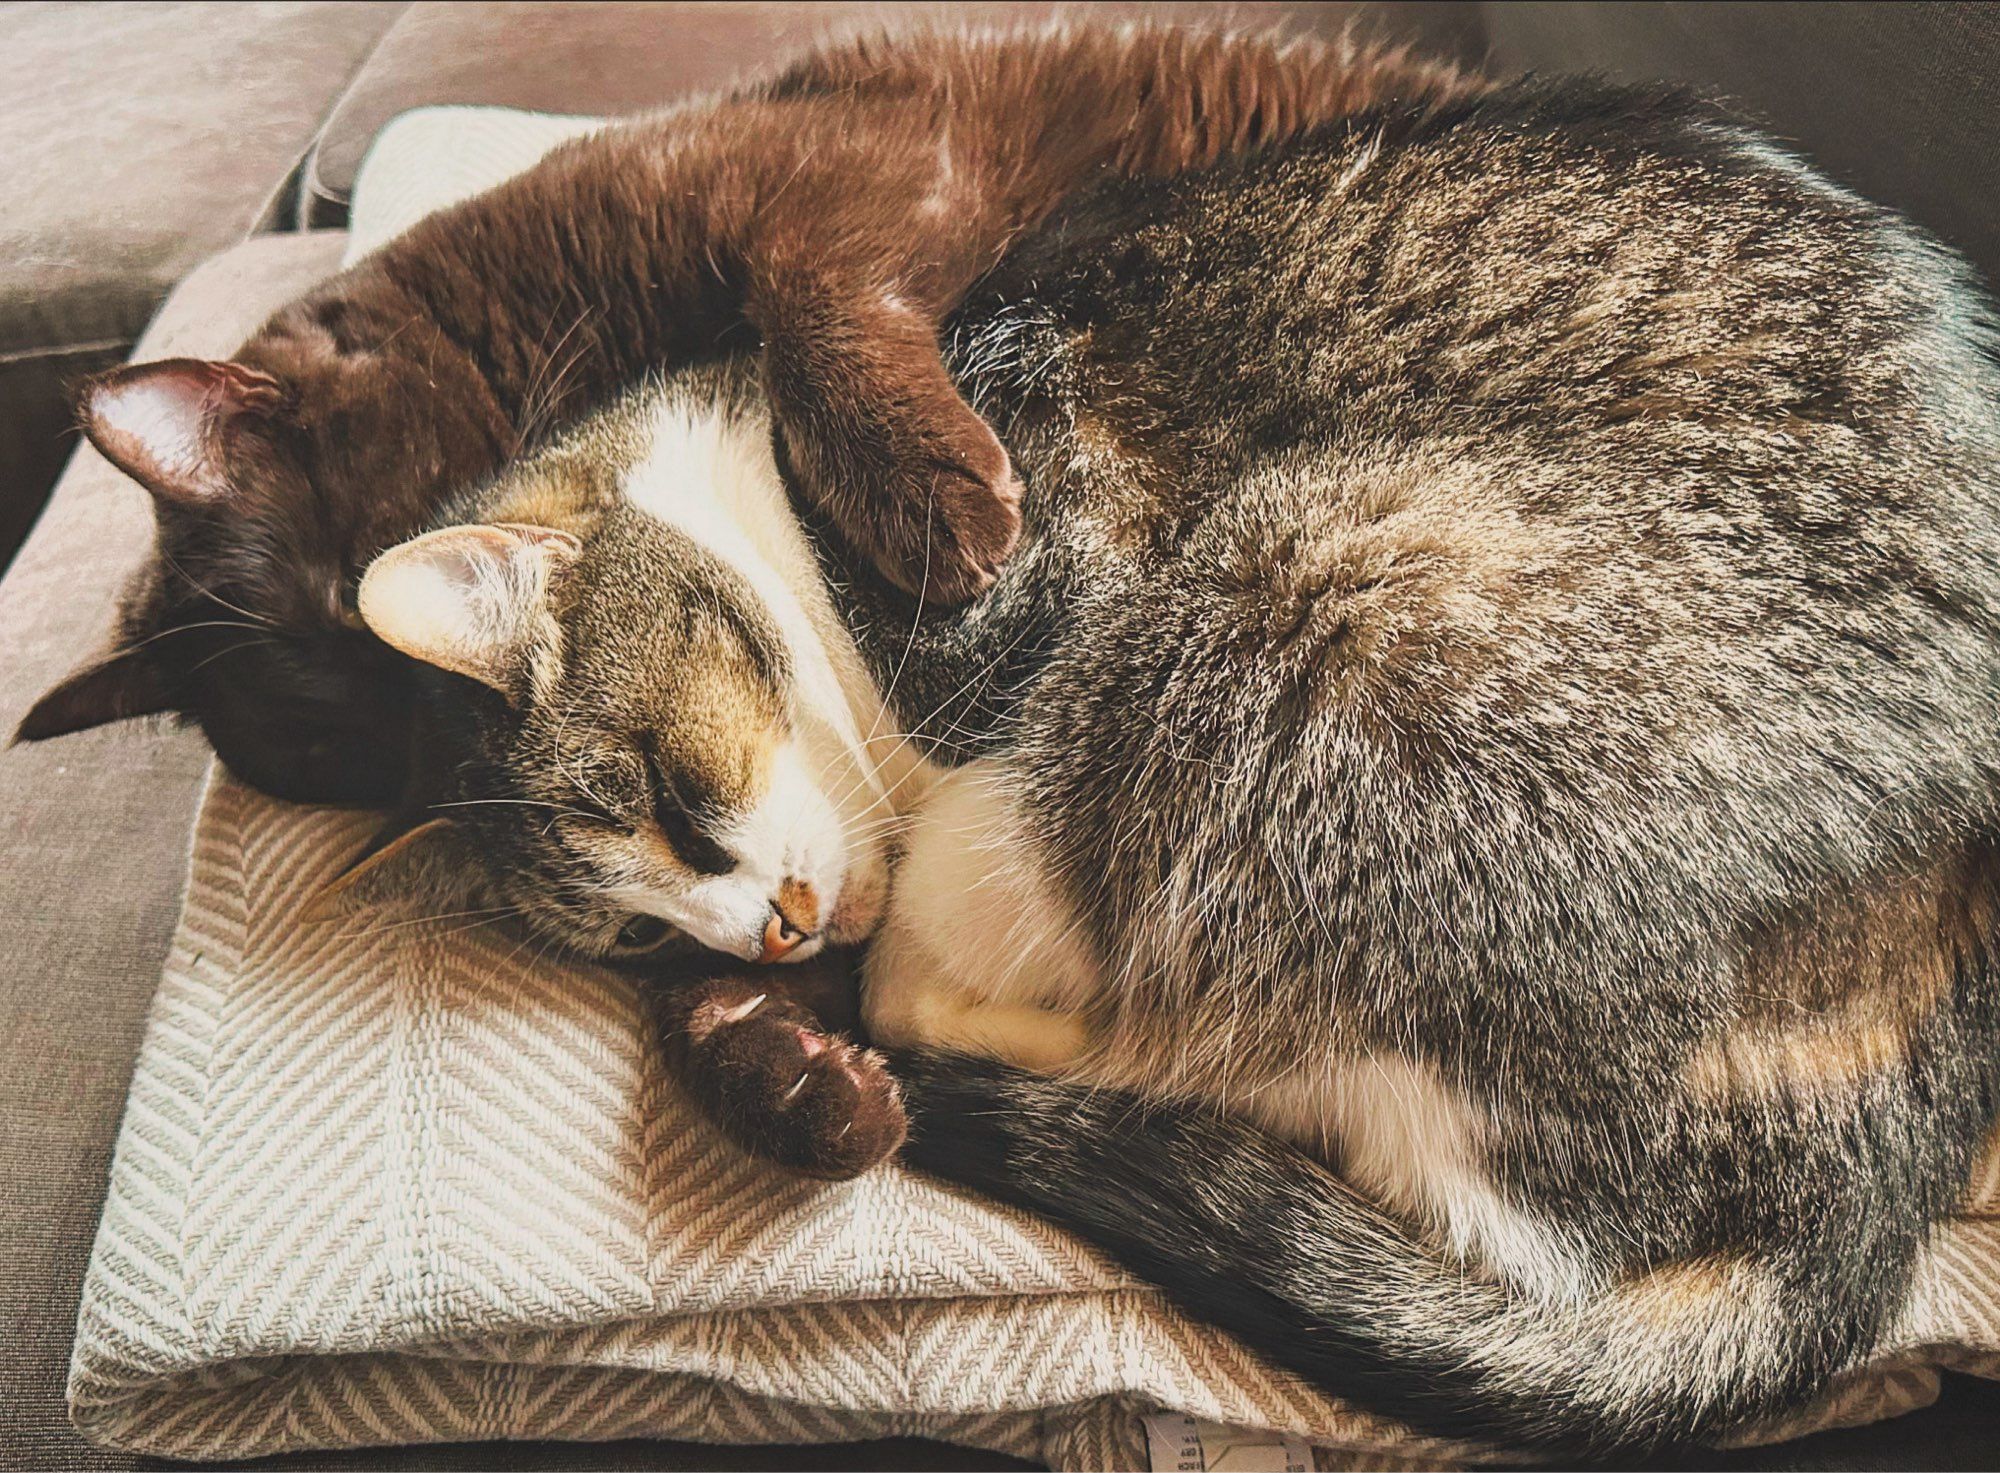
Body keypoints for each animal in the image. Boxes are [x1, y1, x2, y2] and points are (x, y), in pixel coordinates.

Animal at [15, 20, 1480, 804]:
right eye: (349, 754)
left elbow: (800, 286)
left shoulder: (863, 159)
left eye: (350, 595)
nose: (455, 757)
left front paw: (927, 494)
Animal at [344, 77, 2000, 1448]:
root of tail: (1895, 1157)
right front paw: (777, 1037)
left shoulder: (1044, 626)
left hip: (1303, 614)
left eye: (672, 803)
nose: (771, 933)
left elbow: (966, 862)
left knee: (1398, 1149)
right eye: (628, 935)